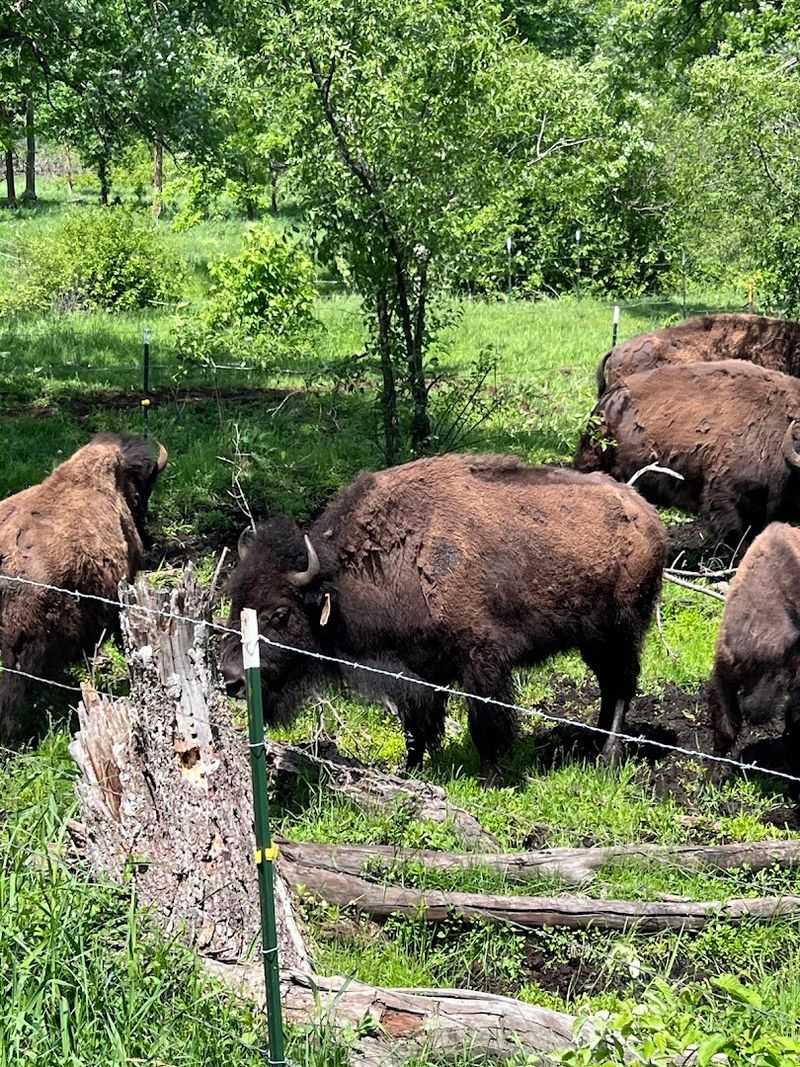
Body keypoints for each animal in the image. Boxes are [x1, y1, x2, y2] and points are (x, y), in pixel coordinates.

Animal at [221, 453, 666, 772]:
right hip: (595, 639)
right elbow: (418, 725)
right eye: (233, 601)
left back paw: (607, 756)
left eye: (280, 614)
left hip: (620, 630)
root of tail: (646, 514)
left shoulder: (482, 660)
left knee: (621, 685)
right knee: (611, 685)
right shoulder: (418, 669)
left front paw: (492, 777)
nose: (231, 679)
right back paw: (593, 744)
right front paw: (412, 770)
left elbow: (485, 721)